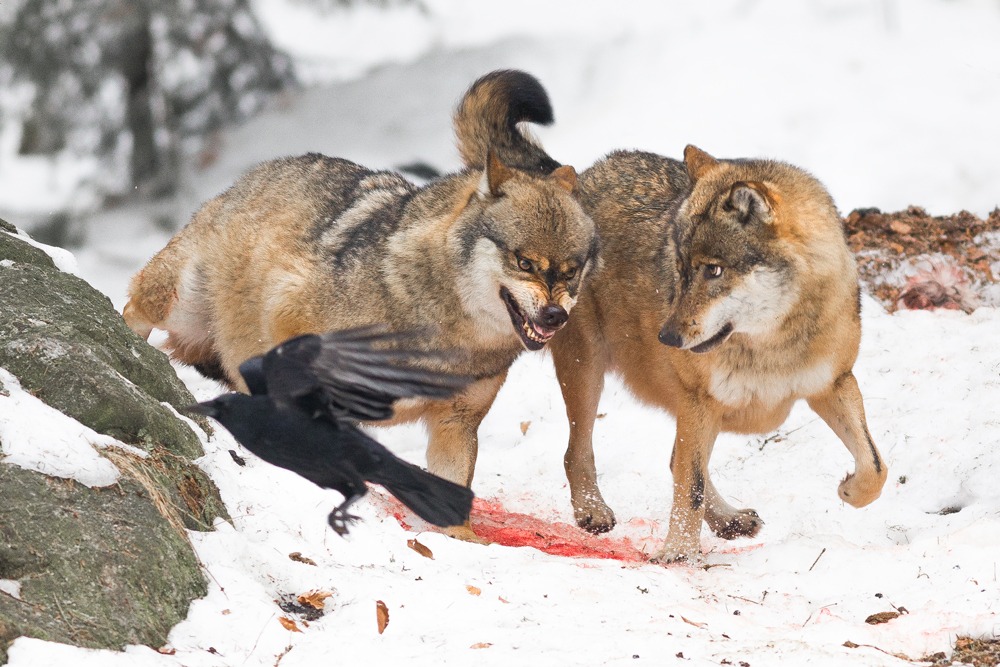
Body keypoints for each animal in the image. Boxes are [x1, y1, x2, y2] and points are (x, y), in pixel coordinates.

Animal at [123, 70, 598, 540]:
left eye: (572, 270)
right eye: (525, 262)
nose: (555, 316)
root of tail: (258, 172)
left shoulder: (456, 424)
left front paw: (462, 542)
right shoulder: (290, 313)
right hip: (177, 303)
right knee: (134, 311)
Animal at [549, 146, 887, 562]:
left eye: (713, 270)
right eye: (680, 269)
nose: (667, 337)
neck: (772, 346)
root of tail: (586, 174)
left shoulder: (835, 383)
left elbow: (875, 466)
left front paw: (850, 490)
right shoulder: (699, 401)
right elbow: (690, 488)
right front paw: (677, 555)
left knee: (671, 460)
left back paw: (729, 520)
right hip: (588, 373)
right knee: (577, 452)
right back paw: (593, 511)